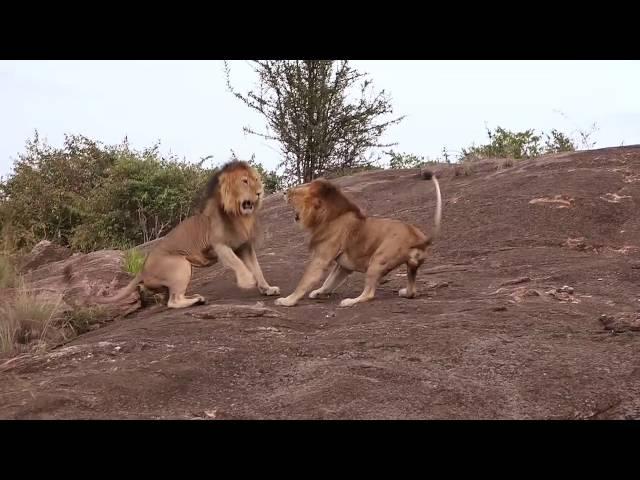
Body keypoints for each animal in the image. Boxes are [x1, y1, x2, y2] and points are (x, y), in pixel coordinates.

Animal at [65, 159, 282, 310]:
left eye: (256, 180)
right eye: (245, 182)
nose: (260, 192)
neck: (239, 216)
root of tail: (141, 270)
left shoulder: (245, 246)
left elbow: (257, 268)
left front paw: (267, 288)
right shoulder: (219, 245)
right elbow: (238, 264)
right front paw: (247, 281)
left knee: (168, 299)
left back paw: (195, 298)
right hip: (180, 265)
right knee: (173, 301)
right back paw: (197, 300)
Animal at [276, 171, 440, 310]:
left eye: (296, 192)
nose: (284, 192)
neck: (326, 217)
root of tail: (419, 238)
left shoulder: (321, 258)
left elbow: (305, 280)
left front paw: (287, 300)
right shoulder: (343, 266)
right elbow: (330, 281)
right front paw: (319, 292)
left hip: (378, 259)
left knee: (369, 294)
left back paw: (350, 301)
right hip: (412, 267)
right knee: (413, 291)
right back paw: (405, 292)